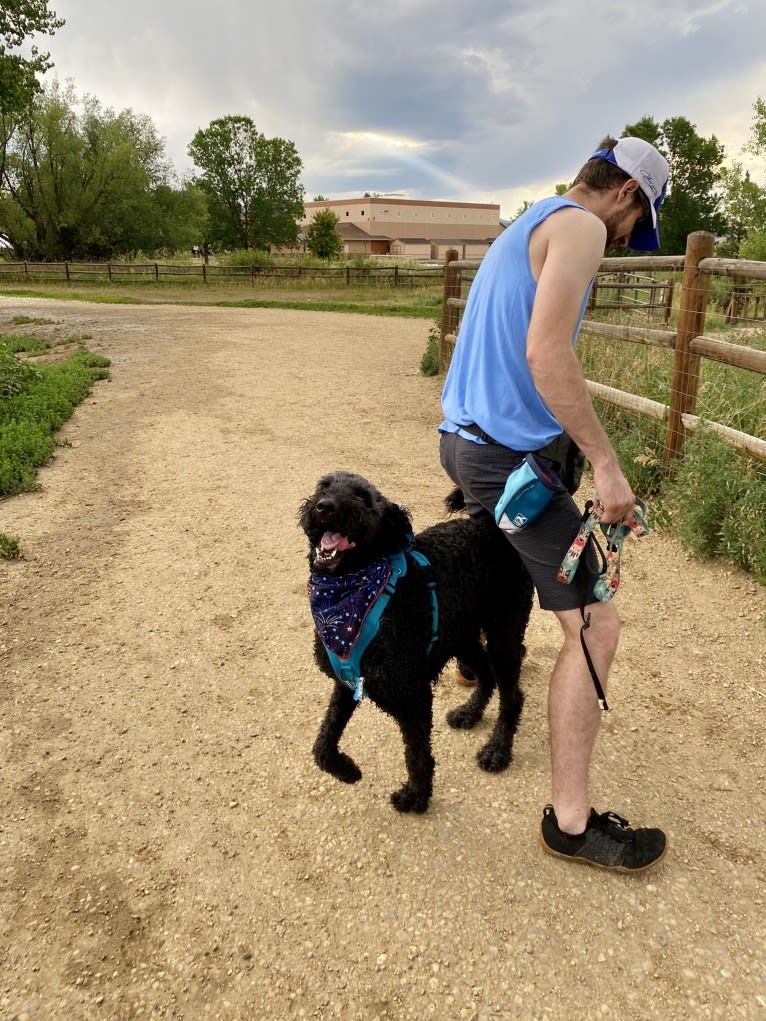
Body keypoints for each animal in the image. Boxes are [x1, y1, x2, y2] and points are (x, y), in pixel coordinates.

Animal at [300, 469, 535, 812]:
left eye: (362, 497)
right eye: (324, 485)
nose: (325, 506)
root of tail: (493, 528)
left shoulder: (414, 695)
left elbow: (417, 754)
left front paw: (416, 795)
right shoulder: (347, 680)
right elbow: (322, 744)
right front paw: (348, 770)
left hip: (503, 635)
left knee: (512, 697)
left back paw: (497, 751)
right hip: (461, 635)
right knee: (486, 675)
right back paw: (469, 713)